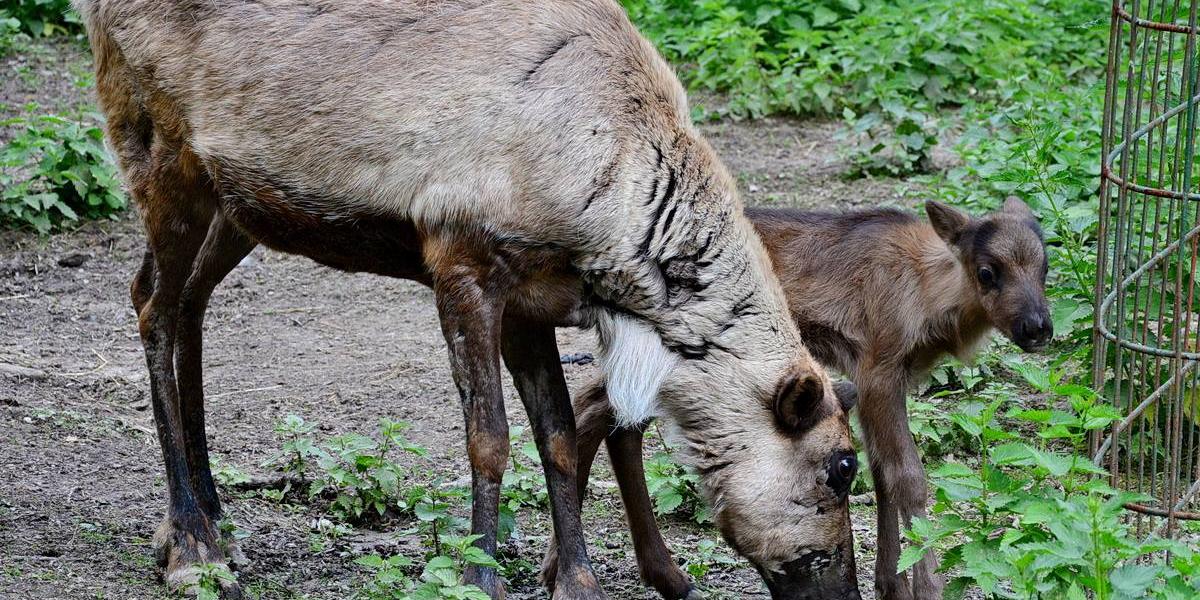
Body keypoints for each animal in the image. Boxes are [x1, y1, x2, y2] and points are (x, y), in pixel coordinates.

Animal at [547, 199, 1051, 597]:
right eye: (987, 272)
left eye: (1045, 268)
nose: (1038, 327)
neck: (930, 295)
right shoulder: (879, 368)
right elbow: (906, 476)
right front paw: (925, 588)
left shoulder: (878, 378)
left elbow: (882, 473)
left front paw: (890, 584)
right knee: (593, 407)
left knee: (611, 417)